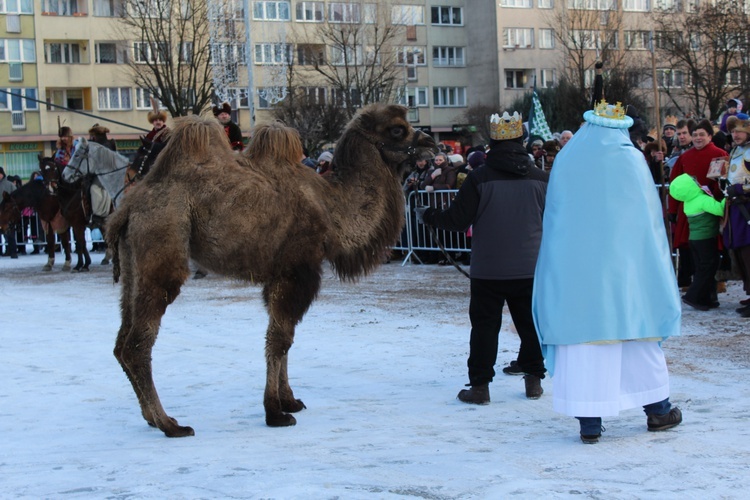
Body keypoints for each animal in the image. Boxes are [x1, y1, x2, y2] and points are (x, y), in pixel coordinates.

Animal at [105, 103, 434, 436]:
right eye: (397, 129)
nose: (431, 143)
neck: (332, 208)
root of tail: (127, 208)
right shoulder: (297, 270)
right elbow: (279, 339)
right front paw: (275, 412)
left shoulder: (279, 275)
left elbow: (284, 338)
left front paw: (289, 400)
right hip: (163, 241)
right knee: (138, 343)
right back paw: (170, 424)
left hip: (133, 264)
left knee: (121, 342)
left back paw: (150, 416)